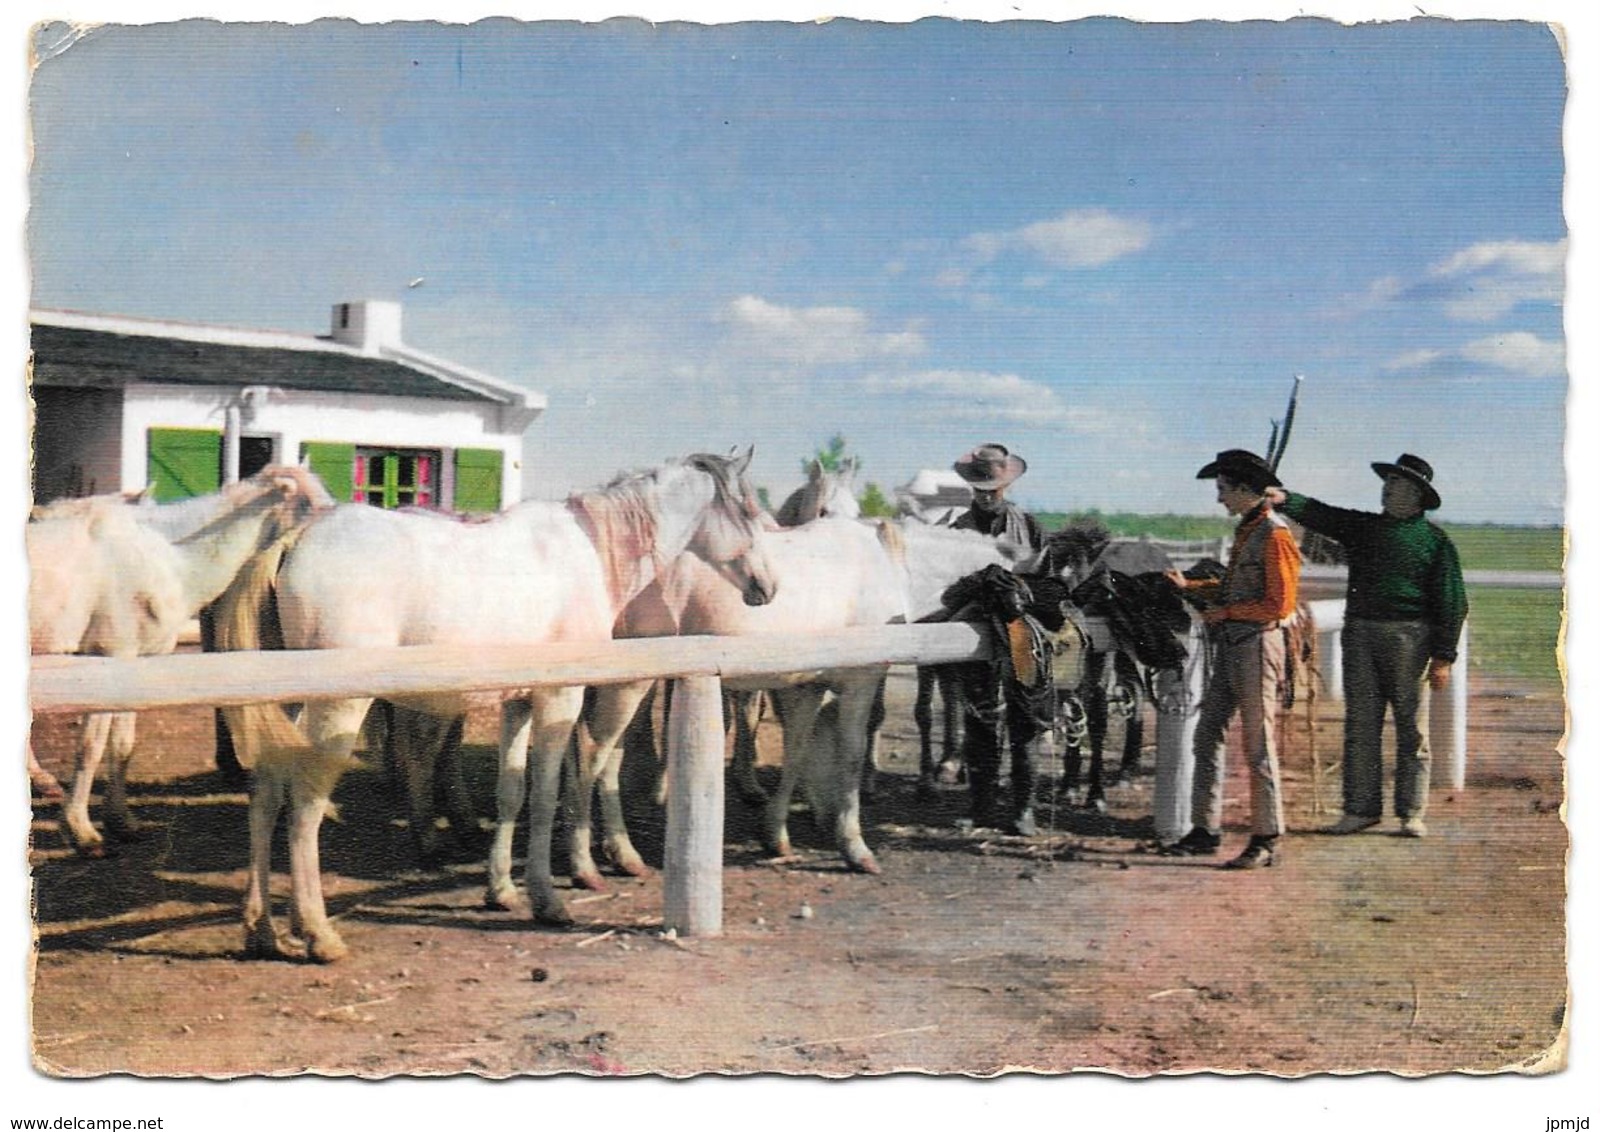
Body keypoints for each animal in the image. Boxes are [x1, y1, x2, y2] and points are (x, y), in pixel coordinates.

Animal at [26, 463, 334, 850]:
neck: (165, 558)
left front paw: (121, 821)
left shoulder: (135, 664)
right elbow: (90, 747)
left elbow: (122, 745)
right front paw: (81, 831)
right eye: (307, 502)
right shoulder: (108, 658)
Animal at [216, 450, 777, 965]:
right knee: (305, 803)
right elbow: (547, 795)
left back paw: (261, 929)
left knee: (265, 793)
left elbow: (512, 792)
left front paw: (501, 890)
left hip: (287, 705)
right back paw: (318, 933)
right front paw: (547, 900)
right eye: (749, 509)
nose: (767, 587)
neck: (590, 549)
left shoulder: (519, 704)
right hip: (338, 708)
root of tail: (296, 539)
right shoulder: (559, 700)